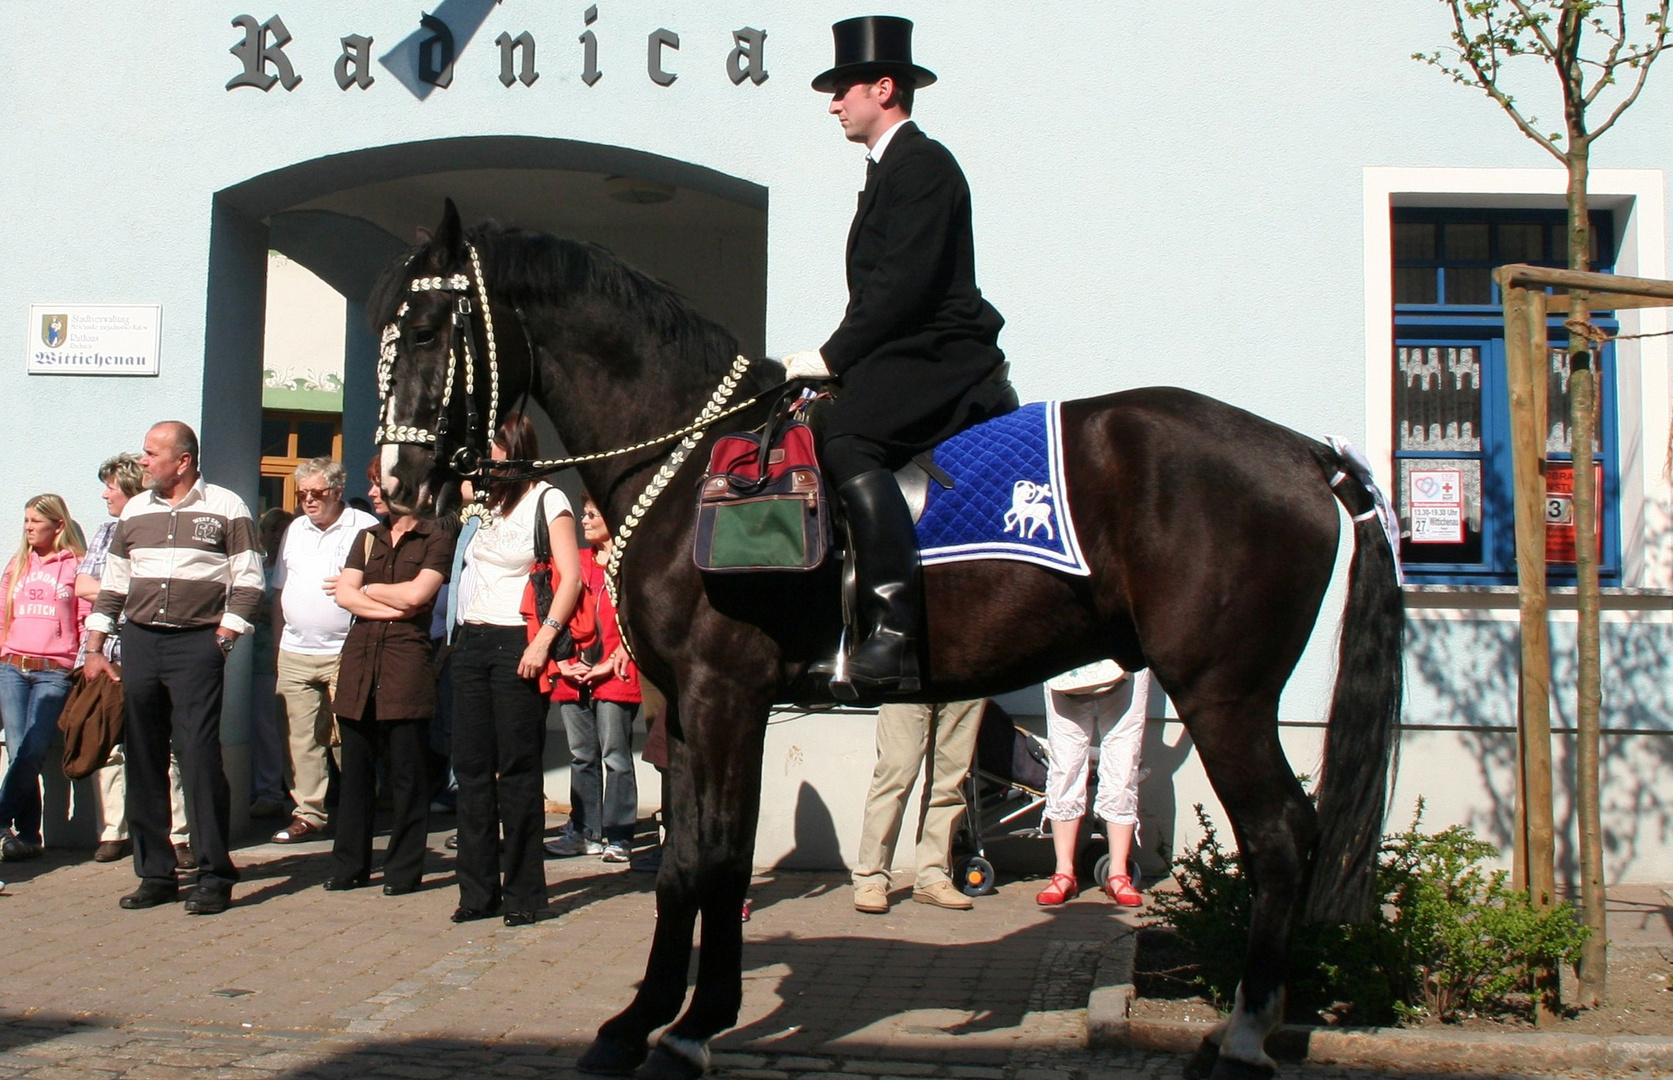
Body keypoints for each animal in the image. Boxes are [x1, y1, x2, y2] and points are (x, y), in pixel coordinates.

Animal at [376, 203, 1398, 1080]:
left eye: (424, 332)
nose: (397, 485)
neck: (688, 461)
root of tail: (1303, 452)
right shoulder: (701, 710)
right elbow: (692, 862)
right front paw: (649, 1021)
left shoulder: (723, 694)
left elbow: (710, 861)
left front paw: (686, 1029)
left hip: (1222, 692)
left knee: (1278, 836)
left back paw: (1245, 1036)